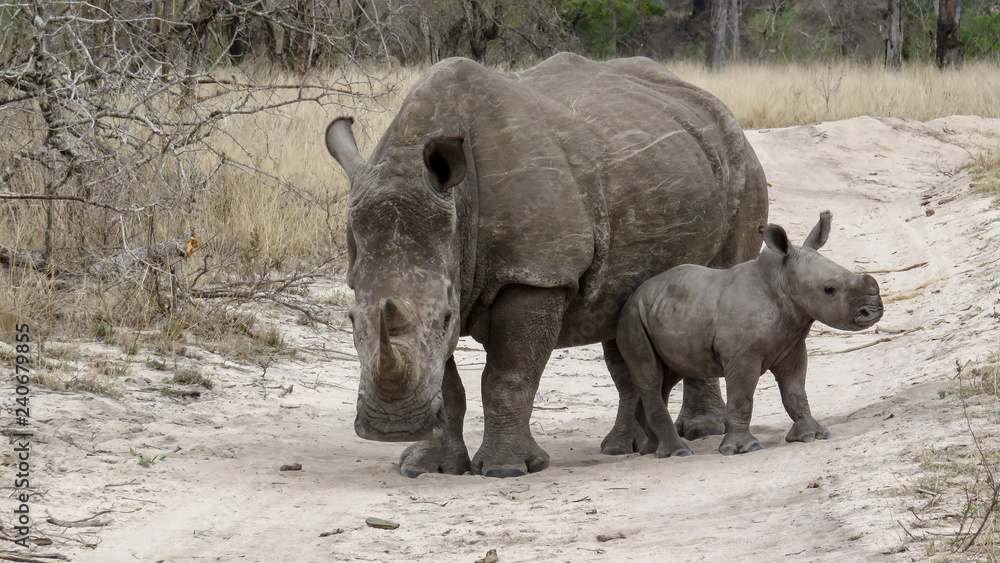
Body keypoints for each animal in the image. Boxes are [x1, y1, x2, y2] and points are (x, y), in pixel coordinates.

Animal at [324, 53, 768, 478]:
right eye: (350, 319)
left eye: (448, 317)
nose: (392, 428)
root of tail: (712, 103)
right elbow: (448, 385)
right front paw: (424, 466)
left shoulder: (537, 275)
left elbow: (508, 376)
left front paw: (506, 469)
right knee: (621, 320)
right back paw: (624, 447)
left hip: (743, 163)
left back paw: (700, 432)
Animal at [617, 211, 883, 458]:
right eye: (829, 290)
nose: (873, 311)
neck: (782, 281)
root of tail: (635, 294)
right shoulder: (742, 355)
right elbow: (742, 398)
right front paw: (744, 448)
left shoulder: (791, 345)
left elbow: (795, 391)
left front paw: (813, 435)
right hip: (631, 317)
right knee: (651, 377)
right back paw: (679, 452)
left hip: (659, 313)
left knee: (668, 376)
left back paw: (652, 451)